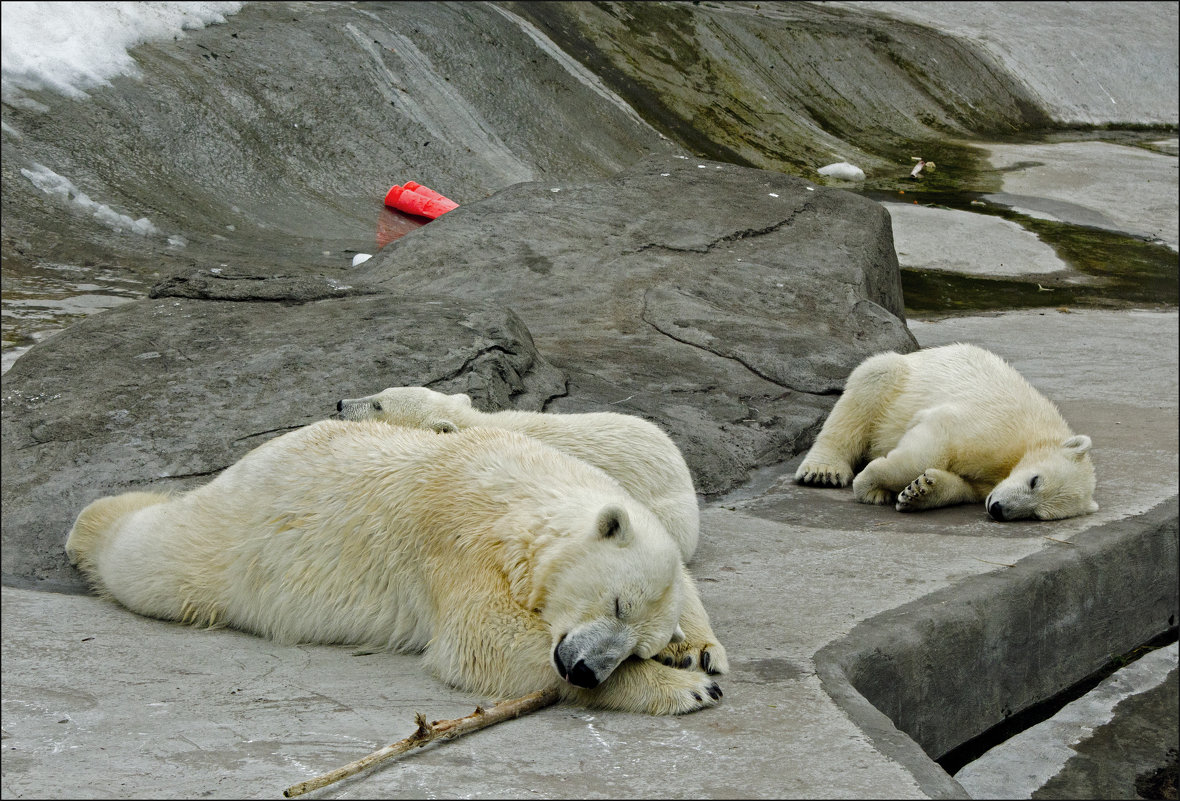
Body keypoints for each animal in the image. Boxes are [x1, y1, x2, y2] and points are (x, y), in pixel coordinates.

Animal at [71, 422, 726, 717]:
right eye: (616, 603)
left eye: (639, 644)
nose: (585, 669)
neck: (522, 490)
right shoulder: (460, 544)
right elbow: (484, 642)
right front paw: (688, 688)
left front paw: (699, 651)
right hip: (233, 539)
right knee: (154, 561)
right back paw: (89, 528)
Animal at [792, 342, 1095, 519]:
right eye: (1035, 481)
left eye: (1037, 514)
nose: (998, 509)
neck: (1037, 438)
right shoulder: (998, 430)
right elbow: (936, 440)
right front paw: (871, 484)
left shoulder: (987, 484)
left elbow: (963, 486)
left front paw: (919, 491)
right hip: (898, 378)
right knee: (871, 382)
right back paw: (823, 470)